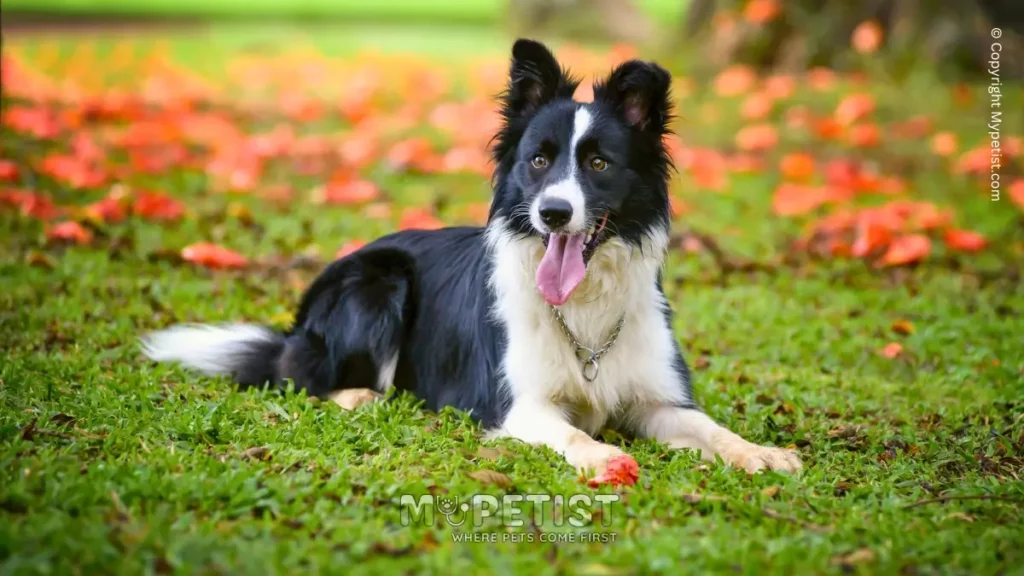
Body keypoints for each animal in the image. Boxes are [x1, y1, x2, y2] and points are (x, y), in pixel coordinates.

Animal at [142, 36, 798, 475]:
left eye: (598, 163)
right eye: (539, 159)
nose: (553, 214)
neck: (584, 310)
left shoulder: (659, 401)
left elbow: (712, 427)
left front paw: (763, 452)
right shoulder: (519, 406)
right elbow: (576, 437)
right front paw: (604, 457)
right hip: (378, 283)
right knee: (301, 378)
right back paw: (362, 396)